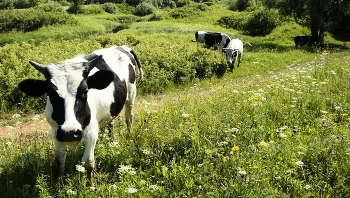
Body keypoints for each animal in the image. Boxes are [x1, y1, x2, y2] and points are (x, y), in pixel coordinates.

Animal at [17, 45, 144, 187]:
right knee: (111, 122)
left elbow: (88, 162)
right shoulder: (56, 131)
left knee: (129, 118)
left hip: (131, 96)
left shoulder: (92, 132)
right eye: (51, 94)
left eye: (85, 91)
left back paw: (128, 137)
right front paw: (61, 183)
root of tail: (121, 47)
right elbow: (60, 158)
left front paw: (91, 186)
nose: (70, 133)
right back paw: (111, 141)